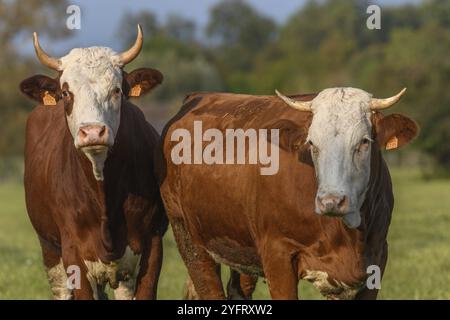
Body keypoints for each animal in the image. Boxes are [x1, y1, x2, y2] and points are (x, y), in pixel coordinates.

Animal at [19, 25, 167, 300]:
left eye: (117, 90)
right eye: (66, 92)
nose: (93, 132)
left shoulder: (152, 246)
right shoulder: (73, 253)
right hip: (50, 251)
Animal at [159, 86, 418, 298]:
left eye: (364, 142)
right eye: (312, 143)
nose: (331, 201)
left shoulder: (375, 260)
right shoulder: (278, 255)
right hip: (187, 234)